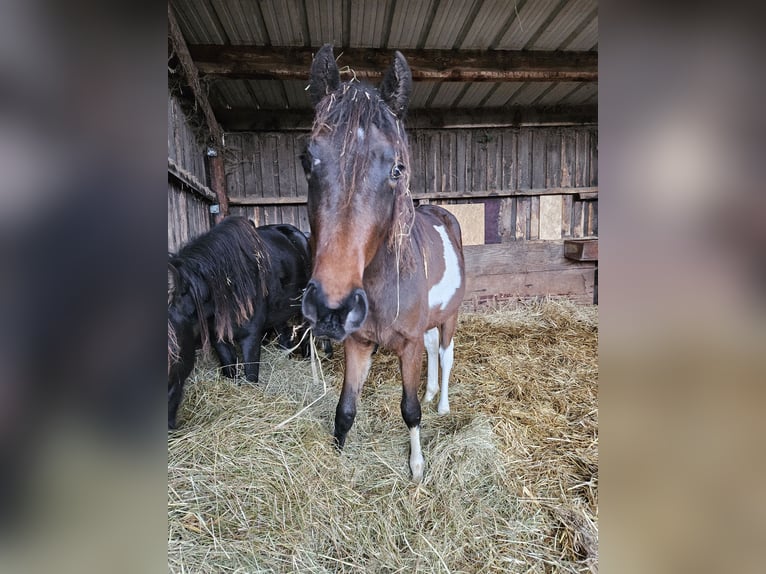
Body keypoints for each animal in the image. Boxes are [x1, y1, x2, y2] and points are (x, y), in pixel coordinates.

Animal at [300, 45, 468, 484]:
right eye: (307, 160)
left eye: (397, 168)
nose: (331, 306)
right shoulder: (357, 344)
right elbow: (344, 411)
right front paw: (337, 460)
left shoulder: (407, 344)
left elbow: (410, 410)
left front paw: (417, 468)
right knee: (434, 351)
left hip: (450, 317)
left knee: (445, 354)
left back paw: (442, 402)